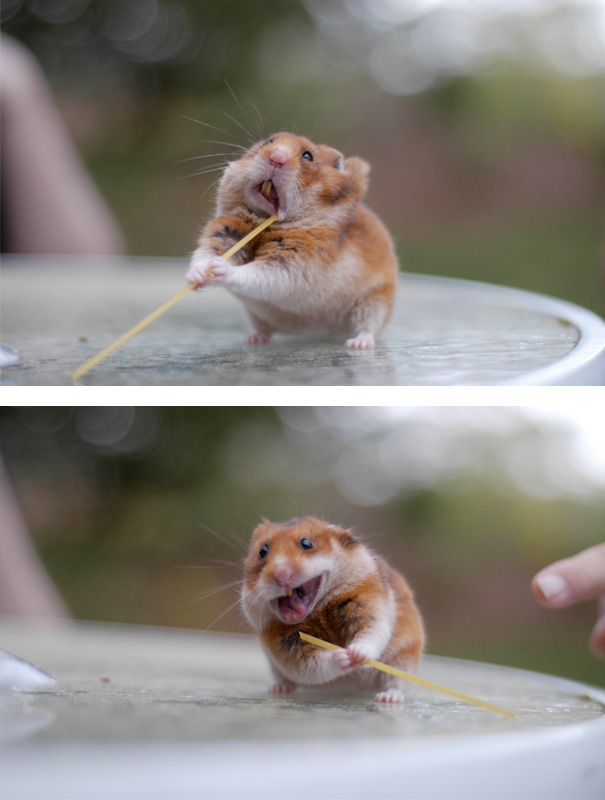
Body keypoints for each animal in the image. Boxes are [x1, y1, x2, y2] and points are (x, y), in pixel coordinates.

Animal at [186, 132, 399, 349]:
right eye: (268, 142)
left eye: (308, 156)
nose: (276, 158)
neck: (262, 221)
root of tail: (327, 331)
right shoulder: (224, 234)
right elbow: (205, 255)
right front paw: (197, 276)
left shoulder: (293, 262)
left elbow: (254, 273)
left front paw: (219, 268)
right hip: (256, 315)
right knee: (263, 329)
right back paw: (252, 340)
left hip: (375, 300)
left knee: (368, 326)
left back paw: (357, 343)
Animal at [241, 516, 424, 703]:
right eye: (262, 551)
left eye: (306, 544)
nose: (281, 574)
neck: (317, 611)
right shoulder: (286, 648)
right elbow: (313, 664)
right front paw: (343, 656)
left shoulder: (369, 607)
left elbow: (371, 633)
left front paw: (355, 654)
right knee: (287, 681)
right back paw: (277, 689)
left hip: (404, 658)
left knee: (396, 682)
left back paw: (388, 698)